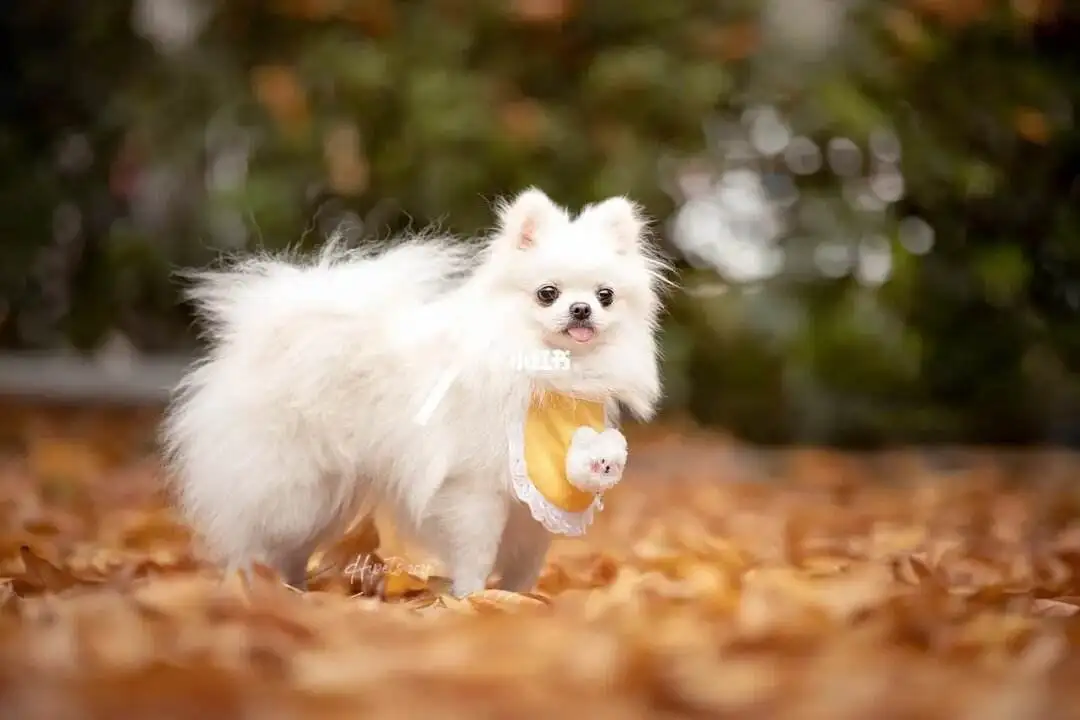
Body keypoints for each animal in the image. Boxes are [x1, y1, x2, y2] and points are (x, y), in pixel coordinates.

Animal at [162, 187, 665, 595]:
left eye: (605, 296)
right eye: (547, 293)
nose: (581, 309)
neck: (548, 377)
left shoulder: (533, 508)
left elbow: (526, 563)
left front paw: (520, 603)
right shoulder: (474, 490)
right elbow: (476, 554)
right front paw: (473, 601)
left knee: (291, 549)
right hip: (292, 486)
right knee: (254, 536)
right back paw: (252, 589)